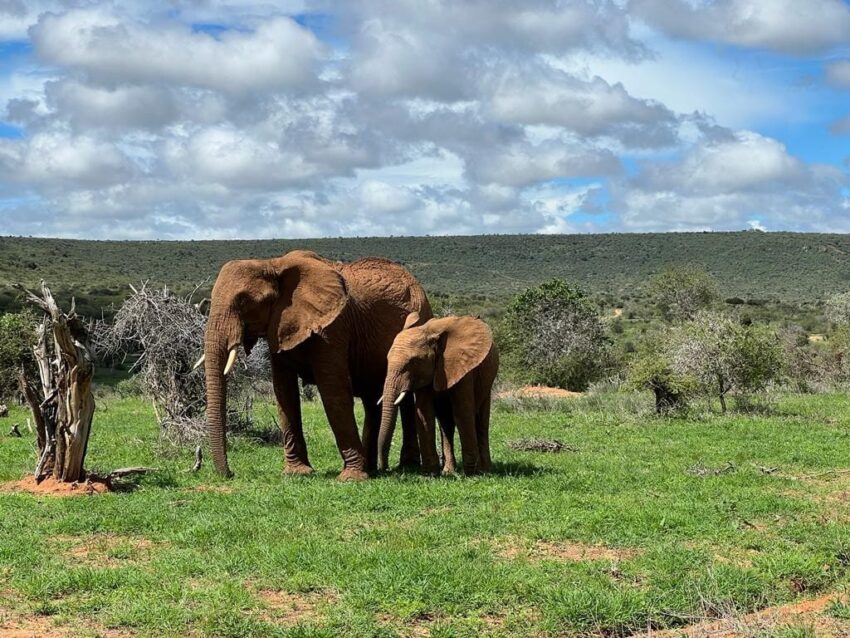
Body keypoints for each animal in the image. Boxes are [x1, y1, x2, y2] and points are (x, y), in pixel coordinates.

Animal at [200, 250, 432, 480]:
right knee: (371, 399)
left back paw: (406, 466)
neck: (272, 264)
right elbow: (284, 392)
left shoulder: (332, 328)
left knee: (405, 399)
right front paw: (297, 473)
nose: (230, 474)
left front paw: (351, 478)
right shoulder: (279, 326)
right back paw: (373, 468)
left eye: (243, 301)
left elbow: (333, 392)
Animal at [377, 313, 499, 475]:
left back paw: (485, 470)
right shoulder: (426, 373)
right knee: (446, 422)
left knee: (481, 420)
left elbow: (462, 412)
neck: (430, 333)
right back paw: (449, 471)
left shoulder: (463, 367)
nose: (385, 468)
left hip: (488, 380)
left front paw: (472, 473)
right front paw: (430, 474)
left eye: (414, 362)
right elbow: (424, 413)